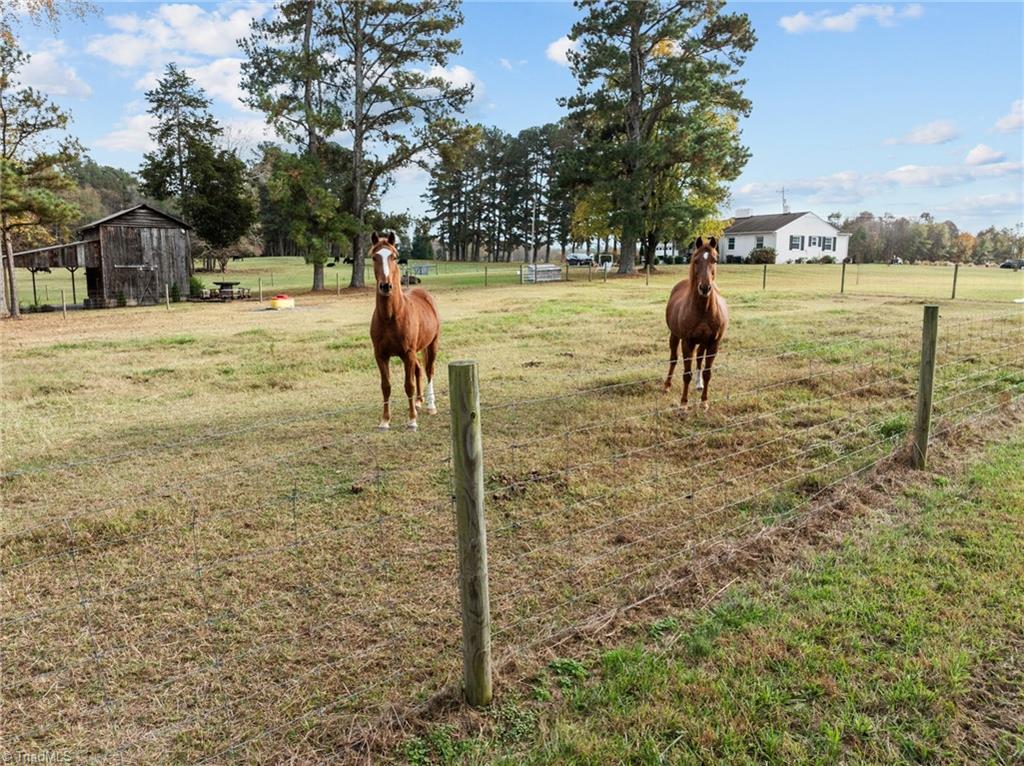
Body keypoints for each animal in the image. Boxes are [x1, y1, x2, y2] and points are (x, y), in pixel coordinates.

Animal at [372, 230, 444, 428]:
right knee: (419, 370)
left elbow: (408, 385)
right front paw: (385, 420)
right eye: (374, 257)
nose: (386, 286)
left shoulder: (408, 353)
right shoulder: (381, 355)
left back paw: (430, 406)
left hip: (432, 345)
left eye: (394, 257)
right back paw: (418, 402)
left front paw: (412, 420)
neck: (391, 316)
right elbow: (386, 386)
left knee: (429, 370)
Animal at [663, 236, 729, 409]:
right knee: (674, 359)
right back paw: (667, 385)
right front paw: (684, 404)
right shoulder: (687, 342)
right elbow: (686, 374)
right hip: (675, 336)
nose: (704, 288)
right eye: (696, 260)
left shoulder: (713, 343)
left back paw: (699, 385)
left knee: (699, 358)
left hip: (703, 342)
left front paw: (704, 401)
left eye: (714, 260)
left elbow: (707, 372)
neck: (703, 310)